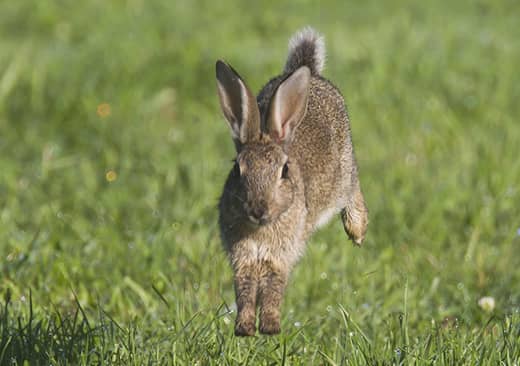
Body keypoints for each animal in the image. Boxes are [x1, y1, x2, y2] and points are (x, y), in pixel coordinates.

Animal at [214, 26, 366, 338]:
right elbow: (244, 292)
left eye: (283, 171)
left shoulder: (280, 258)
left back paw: (357, 231)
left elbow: (274, 289)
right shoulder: (243, 260)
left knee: (353, 190)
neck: (261, 229)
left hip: (345, 169)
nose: (258, 210)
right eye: (237, 169)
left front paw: (270, 327)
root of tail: (309, 71)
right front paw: (245, 329)